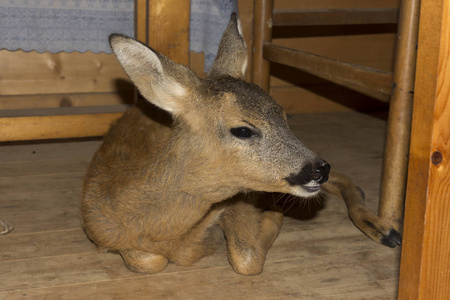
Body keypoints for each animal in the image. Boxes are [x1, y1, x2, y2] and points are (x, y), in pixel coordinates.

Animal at [81, 14, 400, 276]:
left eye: (284, 116)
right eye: (243, 130)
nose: (318, 169)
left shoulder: (238, 200)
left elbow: (246, 258)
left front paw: (273, 216)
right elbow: (148, 261)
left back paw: (384, 229)